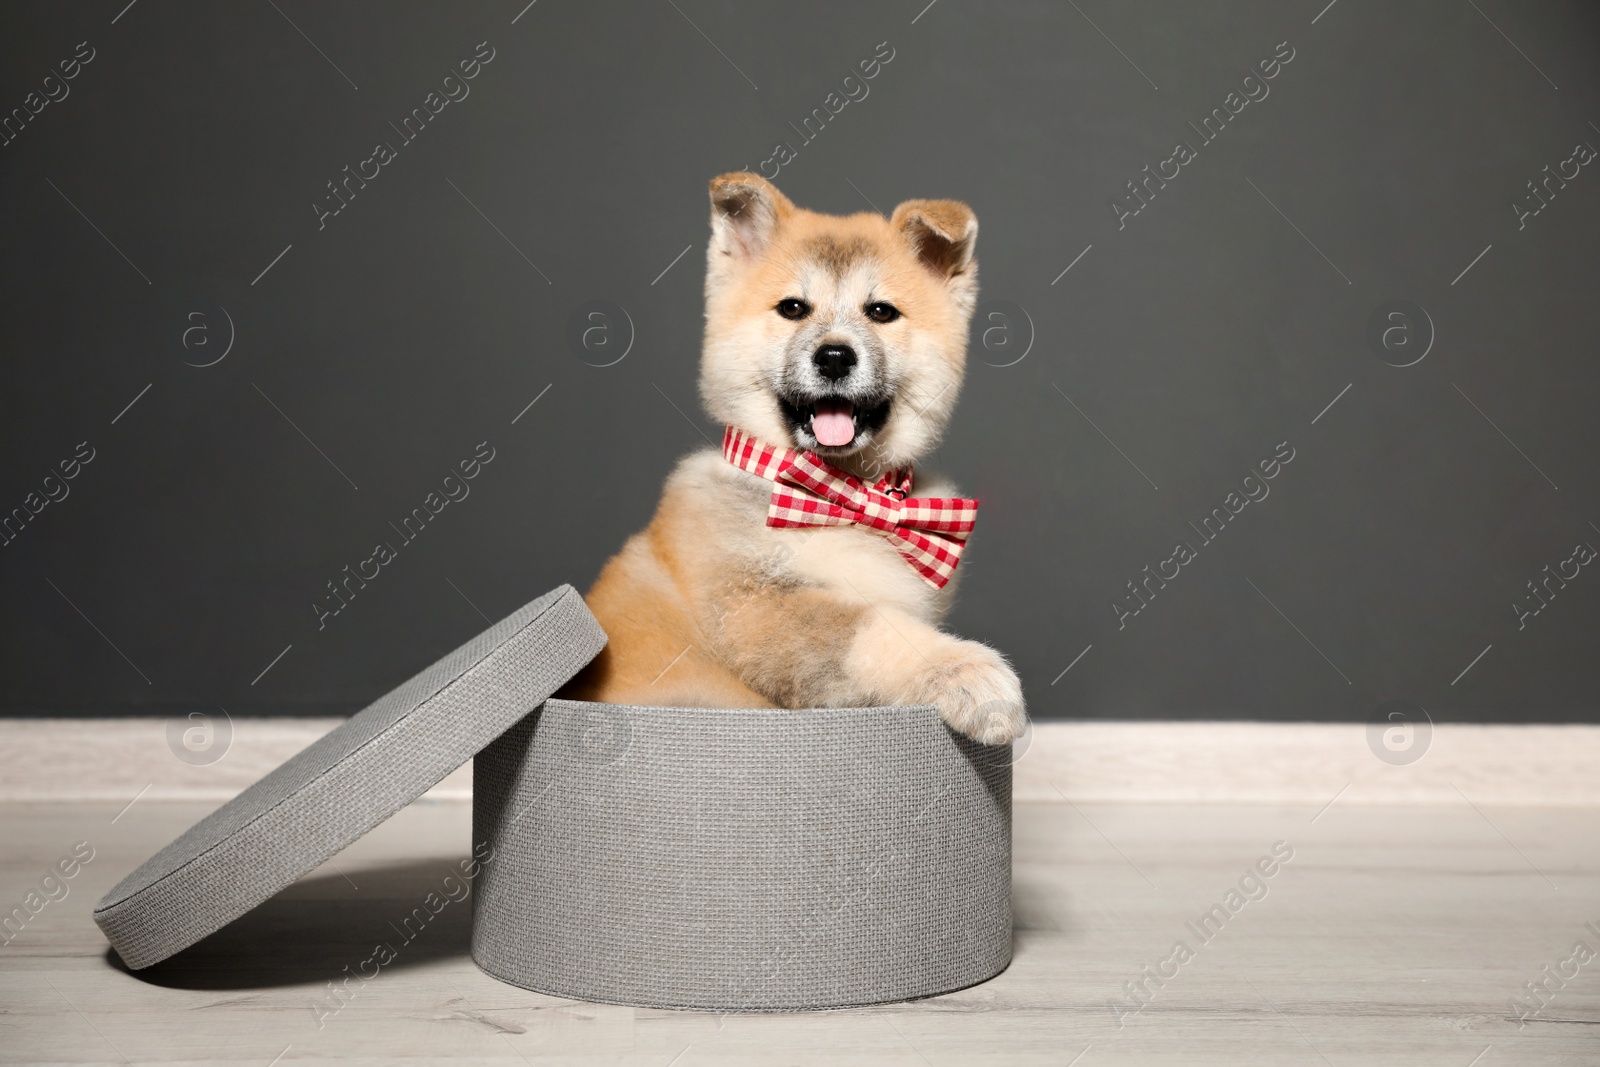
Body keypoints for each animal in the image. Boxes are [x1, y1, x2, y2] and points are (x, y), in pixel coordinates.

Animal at [566, 173, 1024, 742]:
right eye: (792, 308)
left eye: (880, 312)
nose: (834, 356)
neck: (845, 498)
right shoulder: (754, 606)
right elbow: (871, 625)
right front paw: (969, 672)